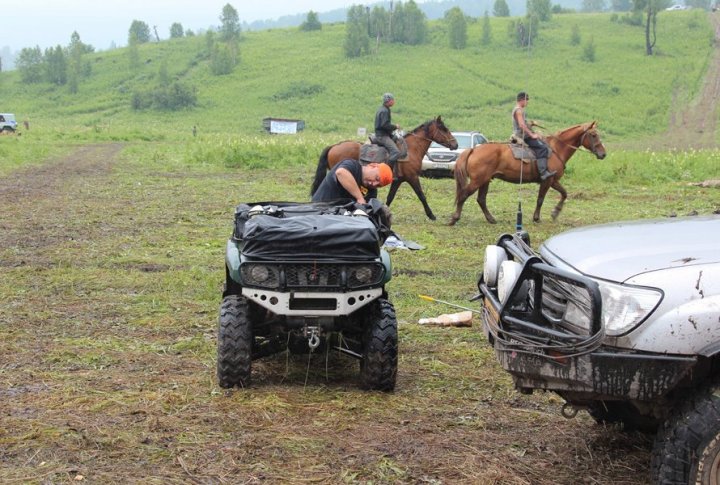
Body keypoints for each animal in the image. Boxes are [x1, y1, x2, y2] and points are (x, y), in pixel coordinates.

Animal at [308, 116, 456, 220]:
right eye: (444, 129)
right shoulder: (412, 178)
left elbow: (390, 197)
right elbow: (422, 196)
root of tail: (334, 146)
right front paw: (431, 215)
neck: (411, 150)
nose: (455, 144)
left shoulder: (398, 180)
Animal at [450, 122, 608, 226]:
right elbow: (540, 200)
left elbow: (564, 193)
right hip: (477, 181)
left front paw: (555, 212)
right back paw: (454, 218)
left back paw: (491, 219)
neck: (556, 149)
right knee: (464, 195)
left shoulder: (553, 180)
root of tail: (473, 149)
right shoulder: (547, 180)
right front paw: (537, 218)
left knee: (481, 199)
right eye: (593, 135)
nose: (603, 154)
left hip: (485, 180)